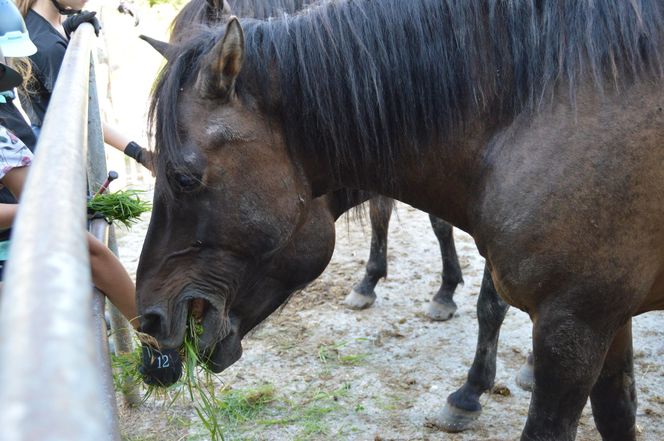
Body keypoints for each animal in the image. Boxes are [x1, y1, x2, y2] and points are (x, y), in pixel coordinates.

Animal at [139, 1, 664, 438]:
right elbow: (616, 413)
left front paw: (468, 391)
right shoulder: (607, 317)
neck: (539, 114)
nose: (149, 323)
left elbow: (489, 306)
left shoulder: (574, 323)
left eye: (183, 177)